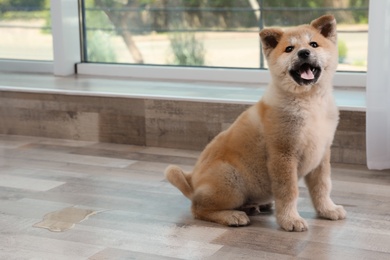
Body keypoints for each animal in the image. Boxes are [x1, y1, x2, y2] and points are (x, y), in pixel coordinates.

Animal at [163, 15, 346, 232]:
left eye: (314, 44)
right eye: (289, 49)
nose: (303, 52)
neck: (310, 103)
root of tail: (191, 181)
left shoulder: (321, 155)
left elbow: (322, 187)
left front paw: (327, 209)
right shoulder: (283, 156)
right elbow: (289, 192)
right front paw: (290, 219)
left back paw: (253, 206)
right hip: (231, 180)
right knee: (198, 208)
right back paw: (233, 215)